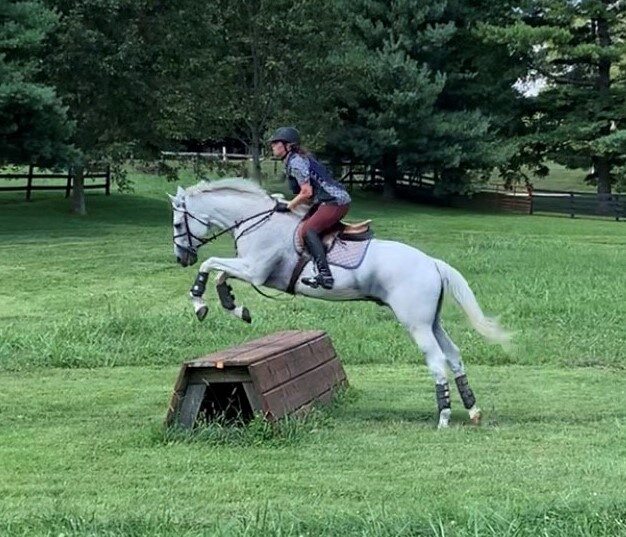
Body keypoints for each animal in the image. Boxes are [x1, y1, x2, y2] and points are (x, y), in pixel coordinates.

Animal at [168, 179, 510, 428]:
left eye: (177, 225)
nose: (181, 258)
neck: (257, 221)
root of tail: (432, 263)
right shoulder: (253, 271)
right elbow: (220, 274)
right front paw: (233, 305)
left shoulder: (256, 270)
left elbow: (211, 264)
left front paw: (199, 302)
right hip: (432, 321)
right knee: (454, 356)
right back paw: (473, 410)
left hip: (416, 323)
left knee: (437, 360)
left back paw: (443, 417)